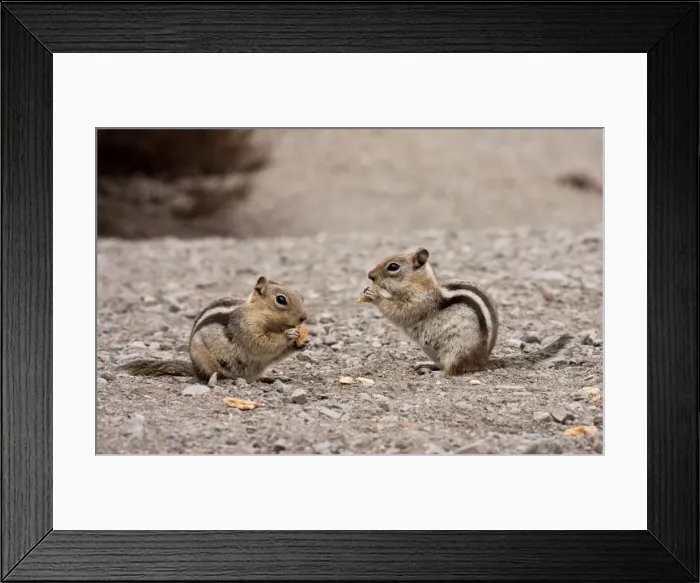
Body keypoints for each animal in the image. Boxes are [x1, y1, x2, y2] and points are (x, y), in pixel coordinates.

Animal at [118, 276, 309, 384]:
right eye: (281, 300)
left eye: (301, 296)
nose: (304, 317)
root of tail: (194, 368)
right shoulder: (246, 329)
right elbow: (262, 343)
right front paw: (289, 335)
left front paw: (302, 343)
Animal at [358, 247, 573, 376]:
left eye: (393, 267)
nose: (369, 275)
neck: (421, 286)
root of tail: (481, 361)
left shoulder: (420, 303)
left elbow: (399, 312)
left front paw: (375, 296)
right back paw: (427, 365)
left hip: (455, 350)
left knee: (453, 370)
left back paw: (436, 373)